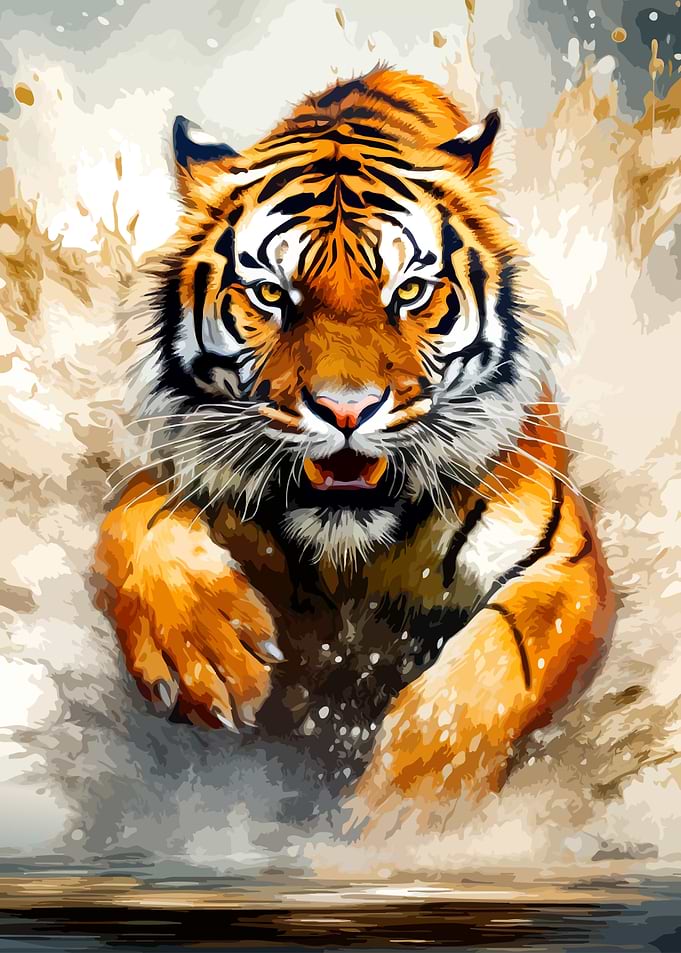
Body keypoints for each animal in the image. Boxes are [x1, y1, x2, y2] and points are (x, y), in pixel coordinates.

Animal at [95, 66, 614, 817]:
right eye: (270, 294)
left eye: (411, 291)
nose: (347, 410)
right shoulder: (187, 468)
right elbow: (130, 514)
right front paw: (203, 649)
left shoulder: (561, 558)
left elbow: (501, 662)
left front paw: (412, 808)